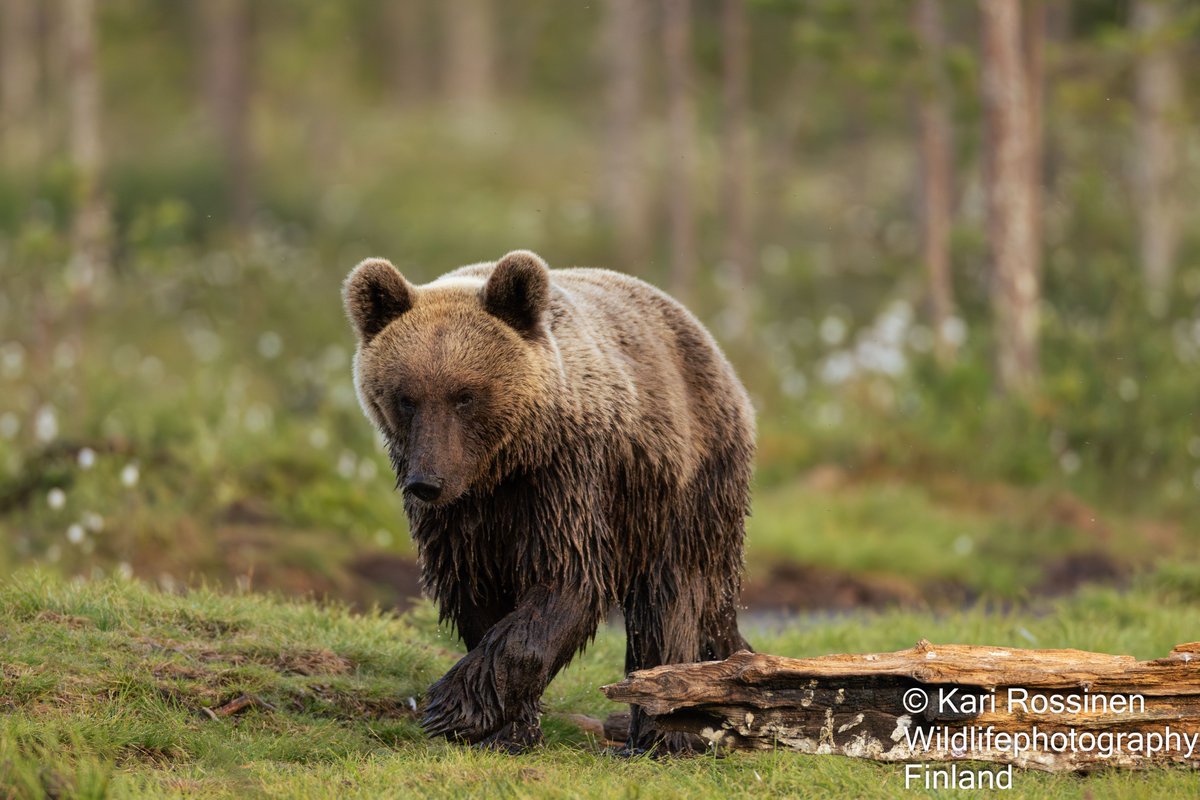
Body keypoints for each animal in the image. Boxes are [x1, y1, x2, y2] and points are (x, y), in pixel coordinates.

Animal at [342, 249, 754, 753]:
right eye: (406, 398)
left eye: (465, 396)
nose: (428, 482)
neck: (501, 468)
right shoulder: (462, 521)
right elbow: (474, 591)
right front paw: (507, 728)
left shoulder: (564, 479)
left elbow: (567, 578)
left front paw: (451, 707)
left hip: (683, 484)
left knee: (672, 597)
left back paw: (664, 733)